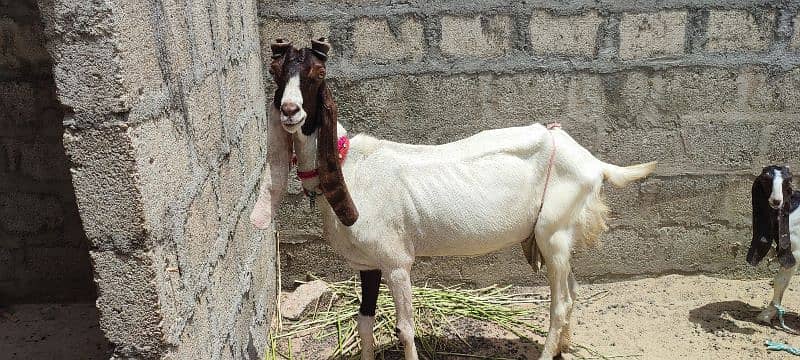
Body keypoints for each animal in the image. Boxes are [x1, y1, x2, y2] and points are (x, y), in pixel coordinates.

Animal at [253, 38, 660, 358]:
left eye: (317, 75)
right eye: (277, 73)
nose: (290, 111)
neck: (351, 165)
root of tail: (593, 161)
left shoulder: (397, 262)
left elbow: (404, 329)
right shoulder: (368, 263)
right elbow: (364, 323)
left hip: (554, 232)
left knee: (561, 304)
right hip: (559, 236)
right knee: (572, 291)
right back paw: (563, 347)